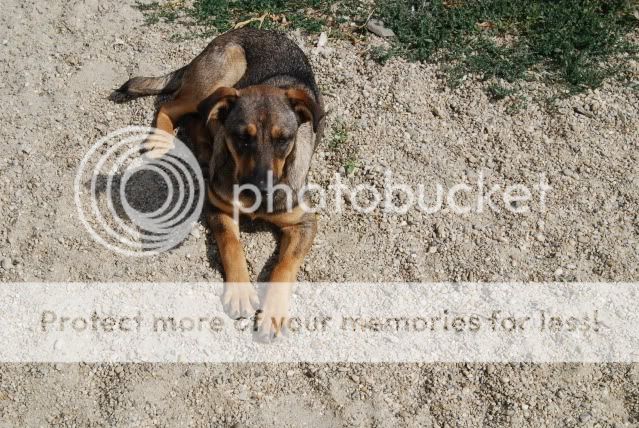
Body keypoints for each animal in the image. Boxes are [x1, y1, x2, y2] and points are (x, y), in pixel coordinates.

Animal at [114, 28, 324, 340]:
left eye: (284, 139)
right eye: (242, 138)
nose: (262, 189)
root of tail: (238, 31)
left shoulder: (305, 222)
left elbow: (285, 266)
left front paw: (272, 313)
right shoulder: (218, 208)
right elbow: (231, 244)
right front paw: (240, 293)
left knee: (196, 119)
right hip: (220, 76)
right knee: (172, 106)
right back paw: (163, 141)